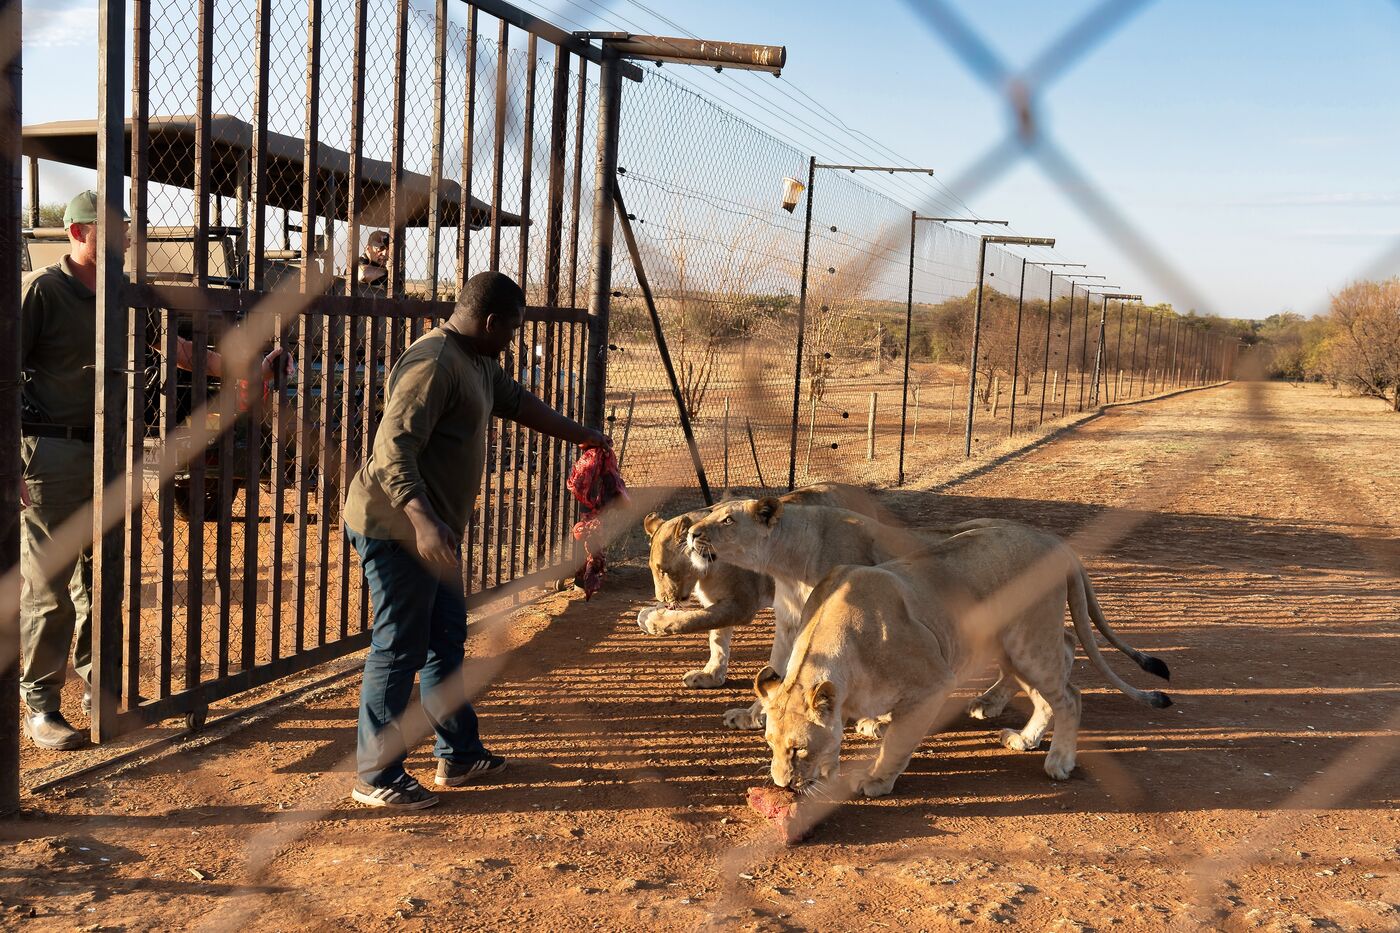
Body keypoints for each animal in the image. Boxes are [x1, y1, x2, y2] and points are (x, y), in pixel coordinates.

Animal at [687, 499, 1172, 794]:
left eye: (727, 520)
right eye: (770, 744)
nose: (691, 533)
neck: (789, 556)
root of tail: (1056, 543)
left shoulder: (933, 679)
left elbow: (899, 737)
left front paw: (877, 769)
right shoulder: (791, 623)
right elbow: (778, 669)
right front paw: (751, 714)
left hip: (1027, 641)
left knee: (1069, 691)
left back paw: (1056, 759)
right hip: (1009, 642)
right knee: (1053, 675)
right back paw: (1022, 733)